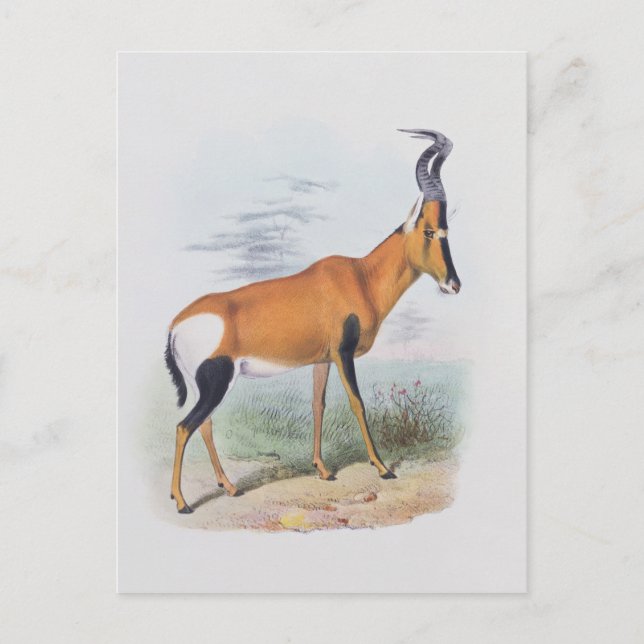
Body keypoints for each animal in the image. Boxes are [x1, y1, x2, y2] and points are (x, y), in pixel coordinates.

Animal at [165, 129, 461, 513]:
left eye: (446, 230)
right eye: (428, 231)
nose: (453, 284)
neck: (360, 276)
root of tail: (175, 327)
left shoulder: (324, 360)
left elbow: (318, 405)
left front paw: (323, 469)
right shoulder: (344, 355)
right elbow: (357, 403)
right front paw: (383, 468)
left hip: (210, 386)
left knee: (204, 425)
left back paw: (228, 488)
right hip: (216, 383)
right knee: (184, 427)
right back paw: (183, 502)